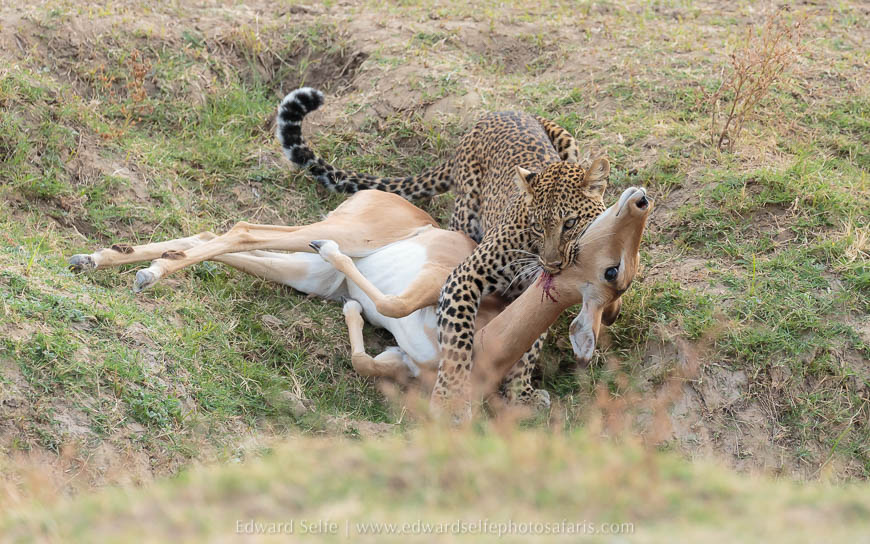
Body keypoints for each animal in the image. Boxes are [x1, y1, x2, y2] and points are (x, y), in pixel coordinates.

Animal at [277, 87, 610, 416]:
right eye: (537, 226)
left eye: (571, 223)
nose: (552, 264)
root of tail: (492, 116)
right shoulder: (465, 276)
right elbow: (458, 339)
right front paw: (452, 393)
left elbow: (531, 344)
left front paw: (520, 392)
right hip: (464, 215)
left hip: (568, 141)